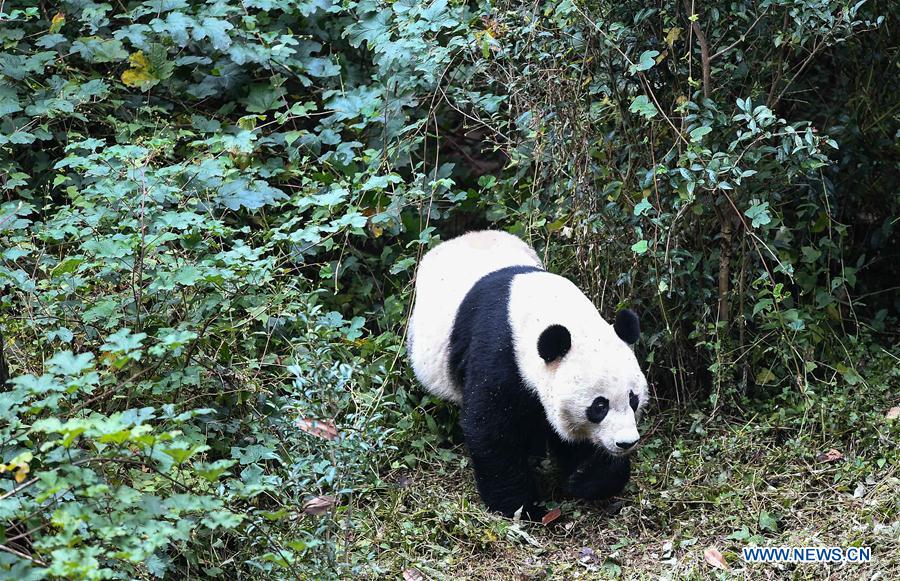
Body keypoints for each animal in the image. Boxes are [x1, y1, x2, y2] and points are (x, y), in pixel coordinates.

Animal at [408, 230, 648, 520]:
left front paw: (585, 479)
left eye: (633, 399)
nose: (626, 442)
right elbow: (490, 429)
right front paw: (521, 507)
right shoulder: (500, 353)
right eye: (599, 406)